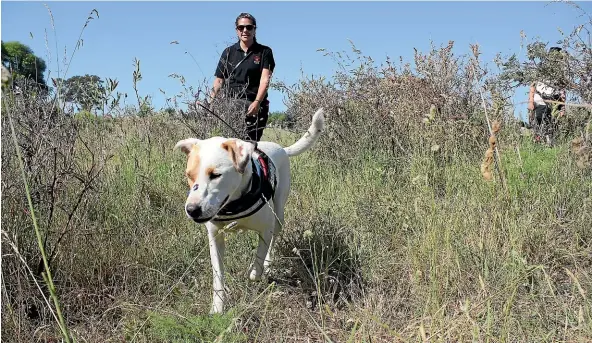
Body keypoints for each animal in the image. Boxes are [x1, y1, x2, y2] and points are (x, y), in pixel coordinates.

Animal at [173, 108, 326, 314]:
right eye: (189, 175)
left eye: (216, 175)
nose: (192, 210)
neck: (234, 204)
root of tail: (281, 148)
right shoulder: (215, 237)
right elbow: (218, 276)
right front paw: (217, 308)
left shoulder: (266, 229)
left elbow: (258, 261)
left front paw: (256, 271)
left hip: (279, 215)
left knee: (274, 238)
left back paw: (268, 263)